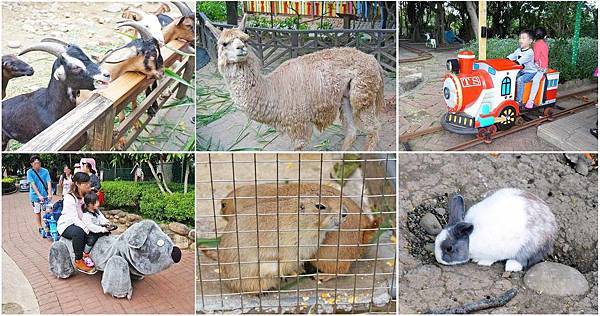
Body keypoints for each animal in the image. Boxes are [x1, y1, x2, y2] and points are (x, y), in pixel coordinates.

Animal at [206, 15, 382, 151]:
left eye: (245, 40)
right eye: (224, 44)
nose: (241, 48)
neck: (272, 89)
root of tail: (373, 60)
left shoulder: (299, 124)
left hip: (362, 93)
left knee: (373, 128)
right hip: (346, 97)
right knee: (352, 131)